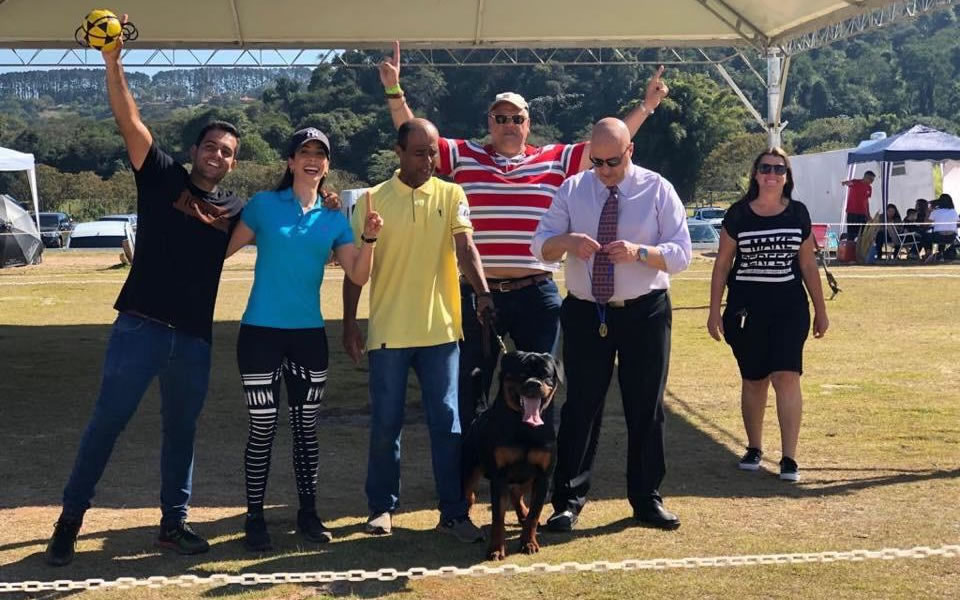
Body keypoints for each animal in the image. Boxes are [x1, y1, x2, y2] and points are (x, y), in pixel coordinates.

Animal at [461, 350, 561, 560]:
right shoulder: (499, 476)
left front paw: (528, 543)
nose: (534, 383)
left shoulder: (543, 476)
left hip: (527, 477)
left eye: (545, 375)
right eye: (521, 374)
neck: (525, 428)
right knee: (469, 495)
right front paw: (496, 549)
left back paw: (522, 514)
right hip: (469, 469)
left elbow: (534, 514)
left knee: (517, 493)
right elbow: (498, 517)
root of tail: (479, 414)